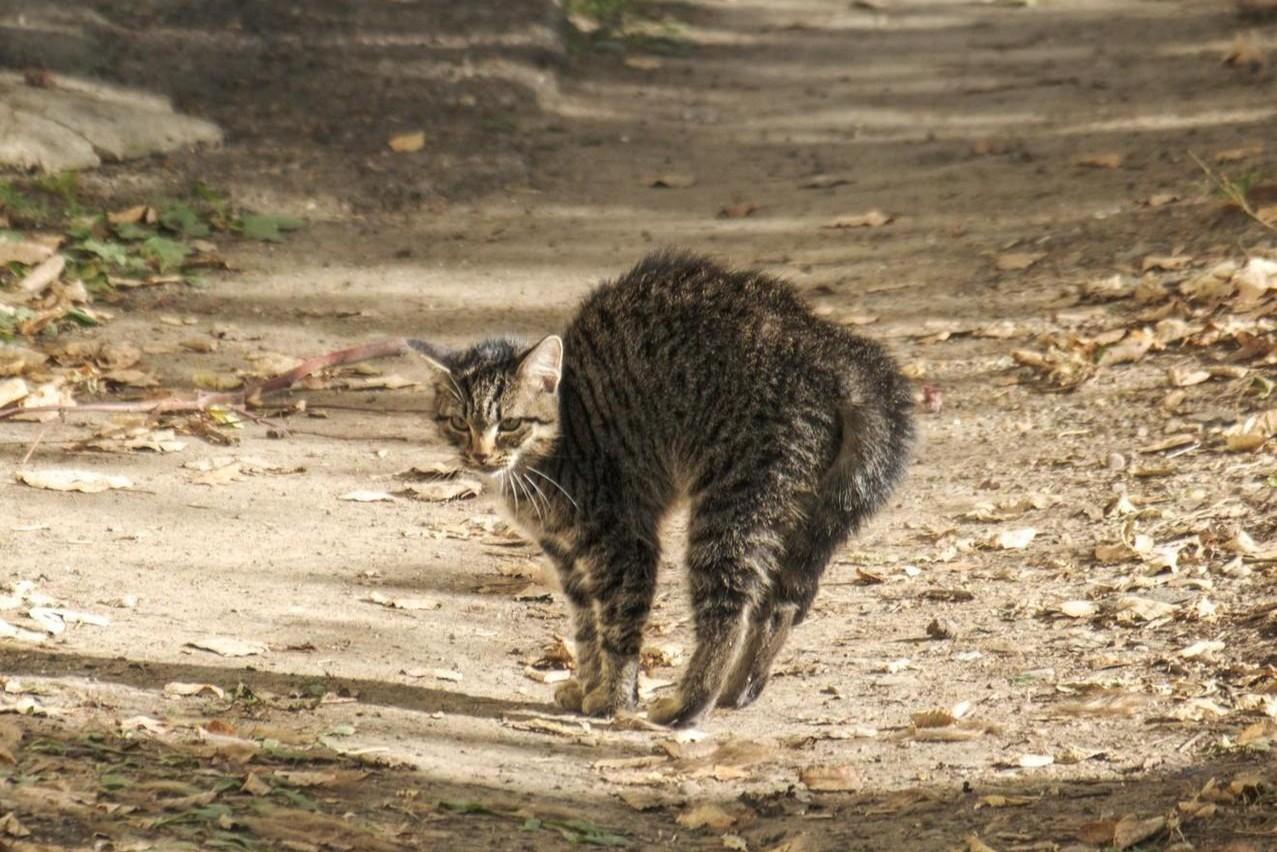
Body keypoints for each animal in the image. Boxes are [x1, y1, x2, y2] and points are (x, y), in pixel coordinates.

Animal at [410, 250, 914, 728]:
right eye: (459, 423)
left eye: (510, 424)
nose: (478, 456)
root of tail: (825, 342)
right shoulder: (568, 559)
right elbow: (586, 627)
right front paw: (588, 684)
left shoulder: (623, 542)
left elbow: (618, 627)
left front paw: (614, 697)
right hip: (792, 510)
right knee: (781, 603)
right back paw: (738, 688)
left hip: (730, 509)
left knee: (729, 613)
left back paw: (690, 702)